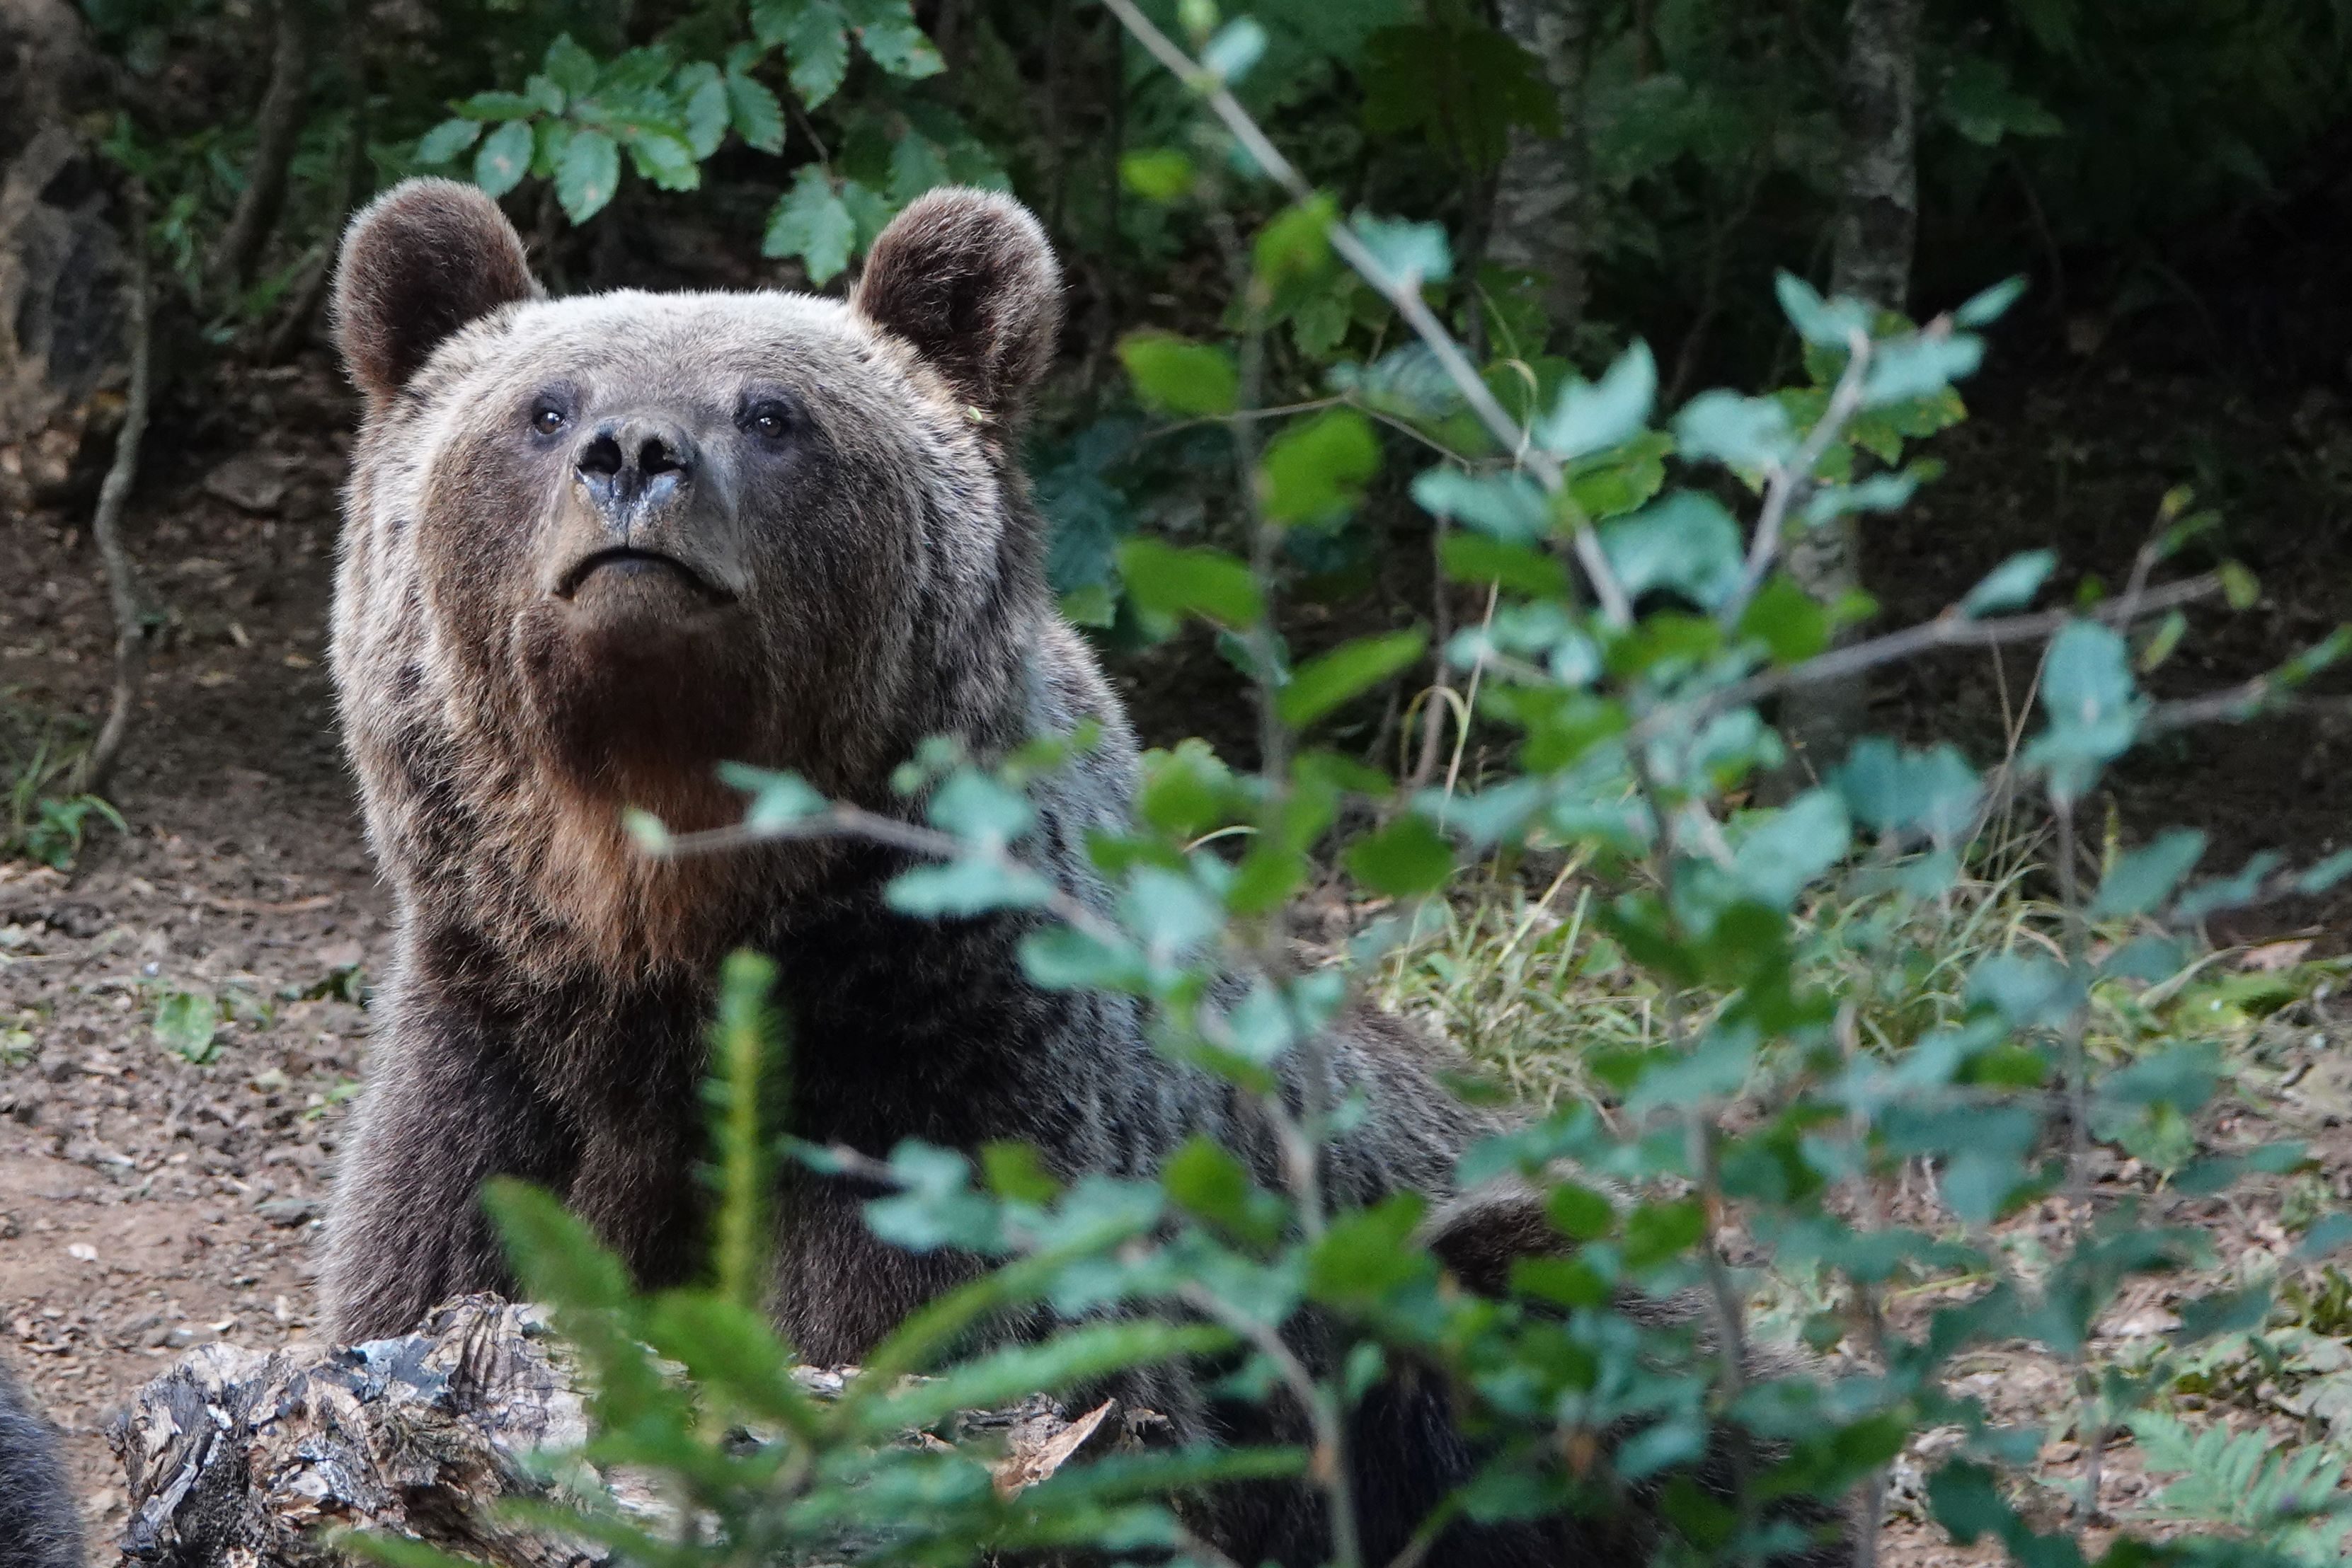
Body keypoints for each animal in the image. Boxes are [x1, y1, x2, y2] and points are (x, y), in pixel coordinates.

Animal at [320, 177, 1838, 1567]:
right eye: (544, 407)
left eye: (771, 413)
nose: (635, 453)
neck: (676, 926)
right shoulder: (500, 1082)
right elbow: (414, 1288)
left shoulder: (951, 1082)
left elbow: (977, 1366)